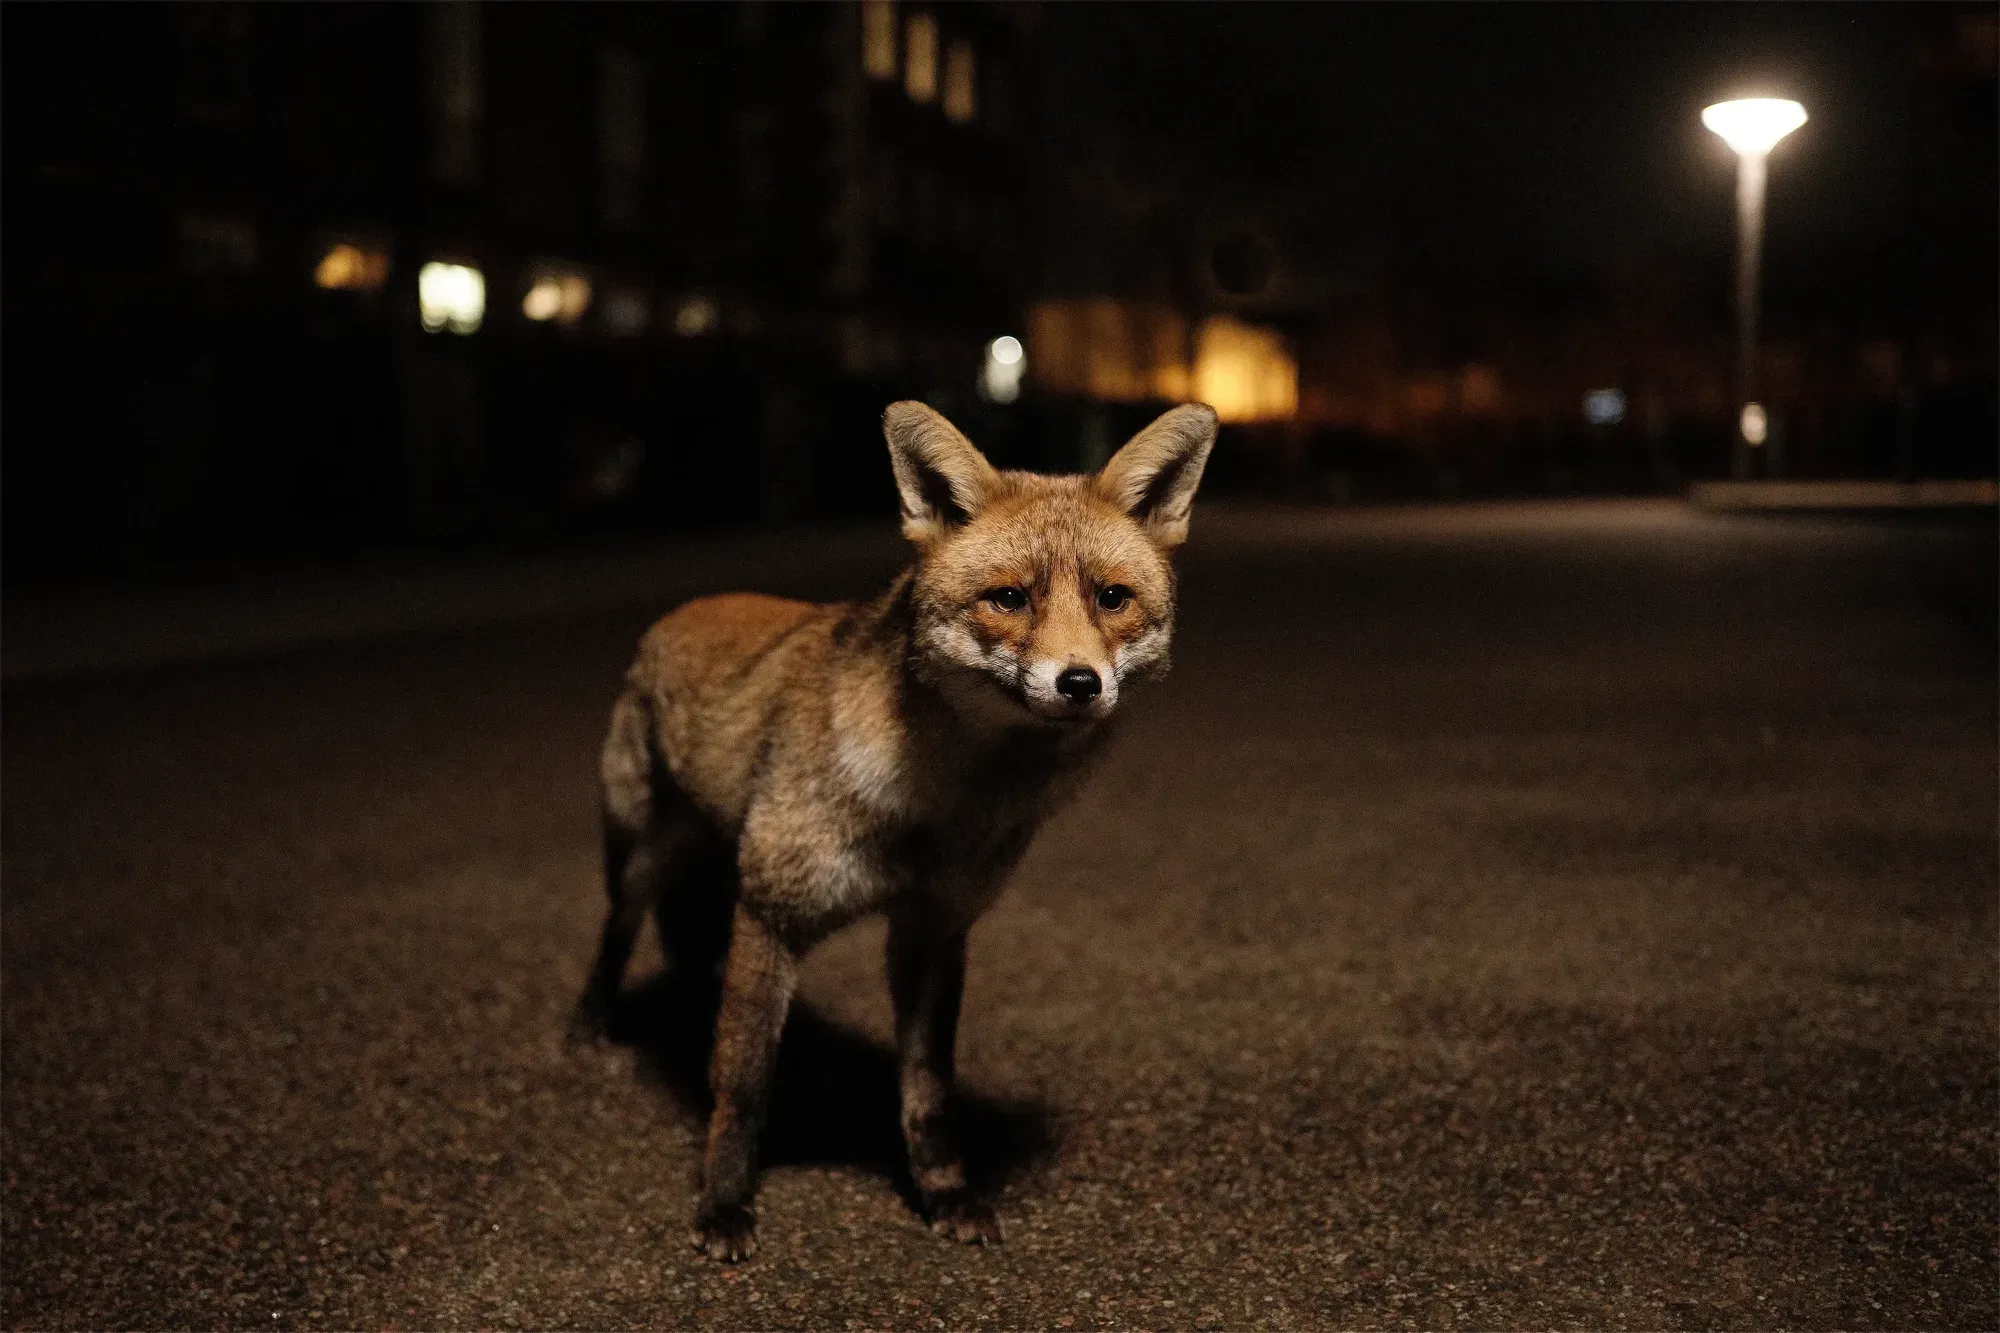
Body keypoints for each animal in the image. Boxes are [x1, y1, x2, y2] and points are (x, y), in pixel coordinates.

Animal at [570, 399, 1219, 1262]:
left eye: (1112, 598)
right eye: (1008, 598)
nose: (1080, 682)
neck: (936, 805)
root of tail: (684, 609)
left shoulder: (934, 928)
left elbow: (926, 1089)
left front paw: (943, 1192)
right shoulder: (771, 913)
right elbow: (743, 1084)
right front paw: (723, 1202)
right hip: (645, 856)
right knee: (618, 928)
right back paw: (590, 1022)